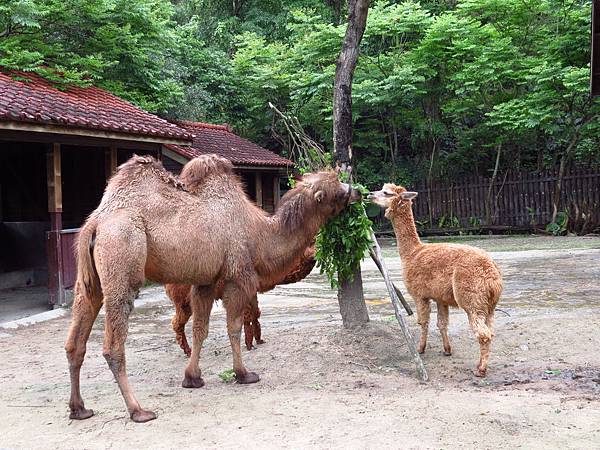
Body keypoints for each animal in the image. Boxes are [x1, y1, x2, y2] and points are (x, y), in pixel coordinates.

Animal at [166, 244, 316, 356]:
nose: (314, 256)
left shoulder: (252, 291)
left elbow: (255, 313)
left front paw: (259, 340)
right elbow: (248, 316)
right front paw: (249, 345)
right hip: (184, 299)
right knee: (177, 322)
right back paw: (188, 350)